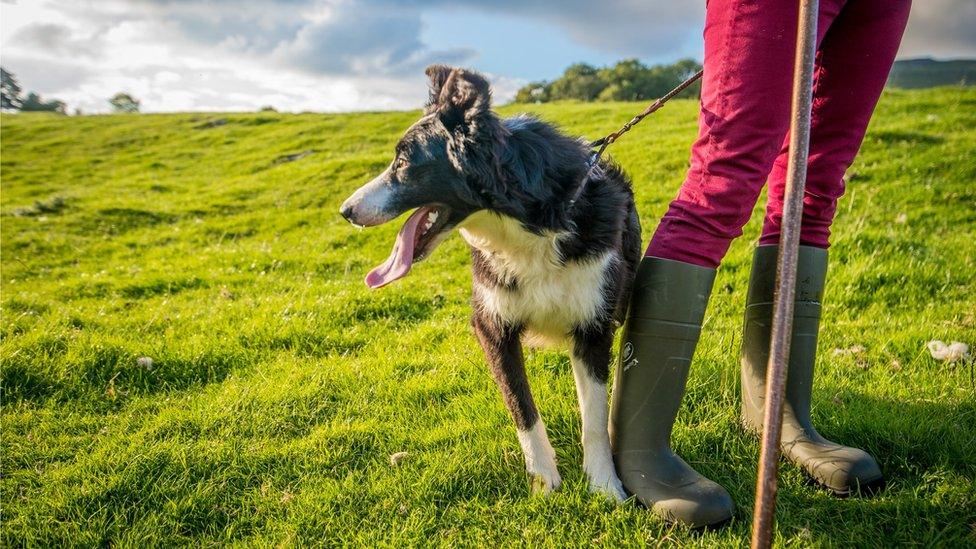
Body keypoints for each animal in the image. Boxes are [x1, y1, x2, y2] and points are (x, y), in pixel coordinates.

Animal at [340, 65, 644, 500]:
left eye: (403, 161)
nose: (345, 210)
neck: (527, 229)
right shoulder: (492, 324)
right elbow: (522, 407)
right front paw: (545, 485)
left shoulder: (594, 325)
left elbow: (595, 418)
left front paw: (605, 487)